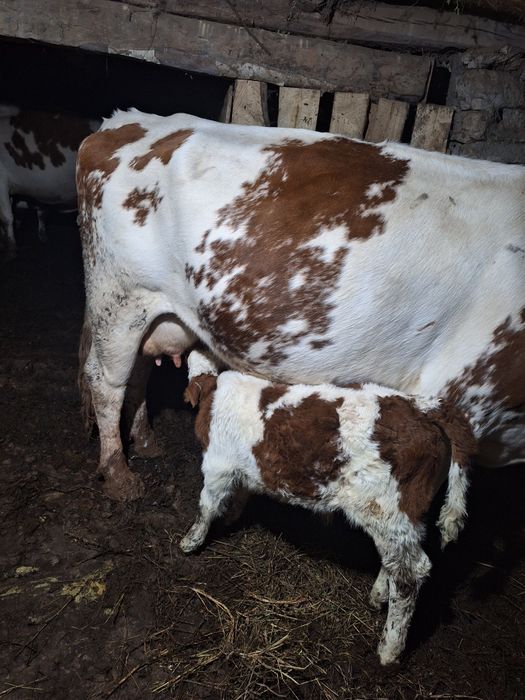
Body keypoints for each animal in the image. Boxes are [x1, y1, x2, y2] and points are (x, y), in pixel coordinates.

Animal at [76, 109, 525, 502]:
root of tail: (127, 121)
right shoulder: (463, 396)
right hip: (120, 296)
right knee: (107, 381)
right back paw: (118, 474)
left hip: (154, 311)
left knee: (139, 371)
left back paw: (145, 441)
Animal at [180, 347, 476, 665]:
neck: (216, 390)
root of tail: (423, 408)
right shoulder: (242, 470)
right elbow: (239, 495)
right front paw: (231, 516)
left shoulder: (217, 466)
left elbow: (206, 507)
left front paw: (191, 541)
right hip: (405, 516)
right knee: (397, 562)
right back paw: (378, 596)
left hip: (386, 510)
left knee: (410, 573)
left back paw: (389, 649)